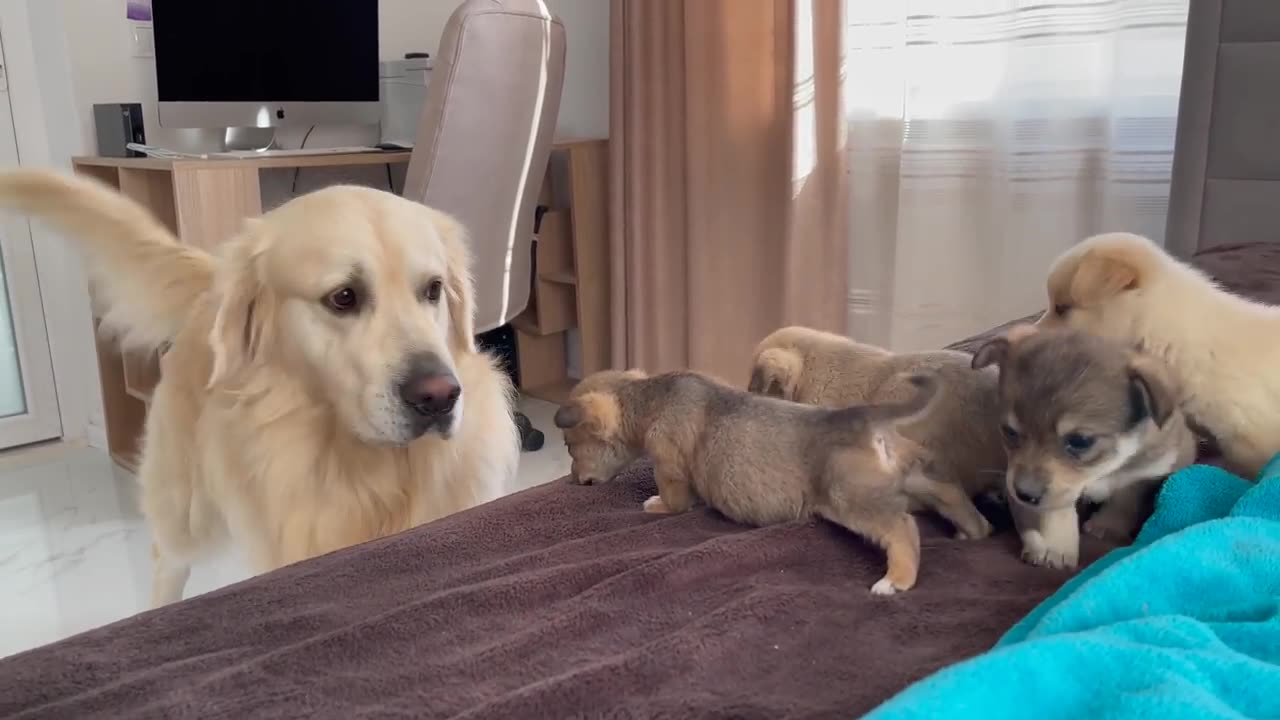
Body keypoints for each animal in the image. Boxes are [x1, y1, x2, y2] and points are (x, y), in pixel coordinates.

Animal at [1, 170, 519, 602]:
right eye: (343, 297)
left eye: (433, 289)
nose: (439, 396)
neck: (368, 473)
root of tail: (215, 282)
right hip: (184, 510)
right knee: (166, 563)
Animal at [555, 366, 947, 591]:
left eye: (570, 447)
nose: (573, 480)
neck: (649, 400)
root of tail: (865, 420)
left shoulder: (668, 467)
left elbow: (672, 500)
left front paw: (655, 505)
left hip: (851, 498)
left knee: (903, 528)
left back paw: (896, 580)